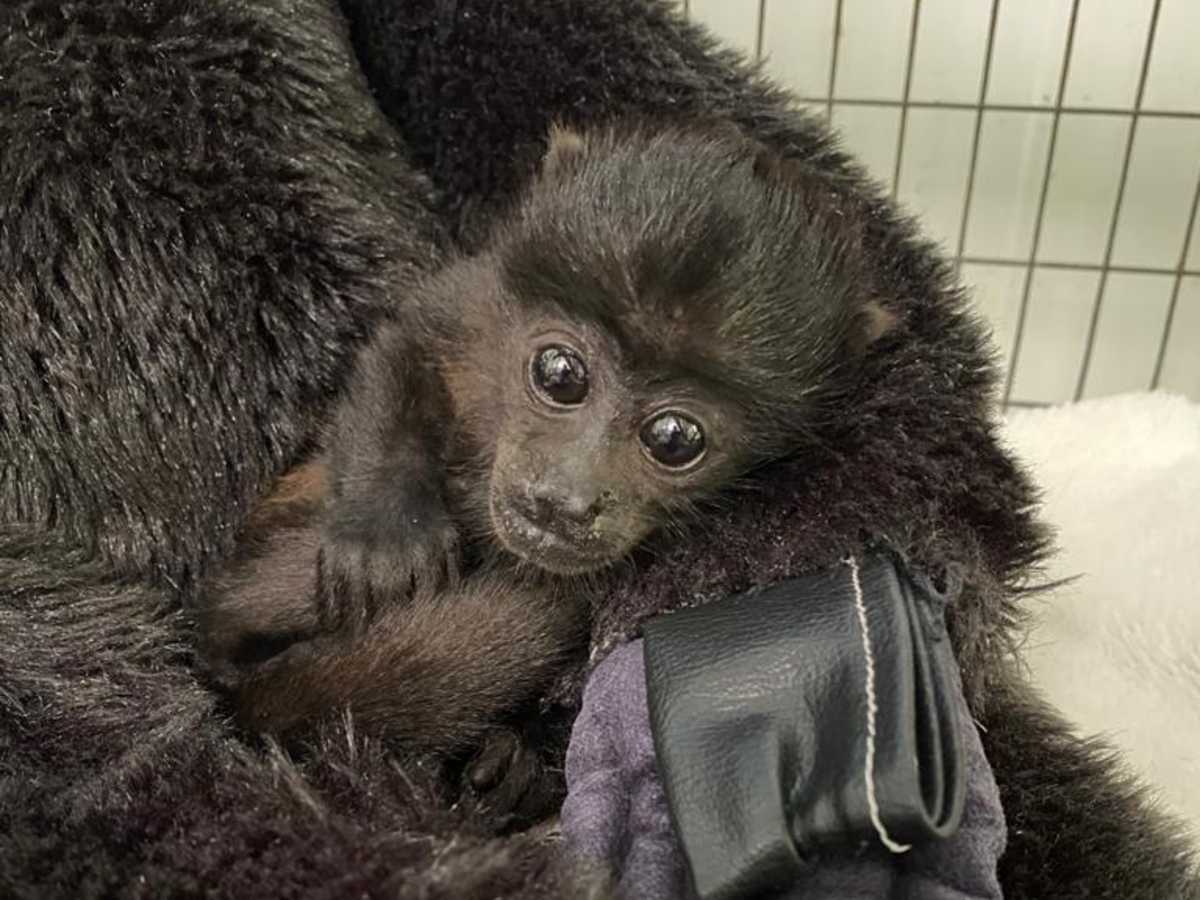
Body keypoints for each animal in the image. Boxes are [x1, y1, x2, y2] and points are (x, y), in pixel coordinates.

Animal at [201, 118, 897, 801]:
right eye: (560, 374)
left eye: (675, 438)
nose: (565, 499)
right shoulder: (476, 303)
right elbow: (406, 343)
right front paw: (384, 537)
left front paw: (522, 762)